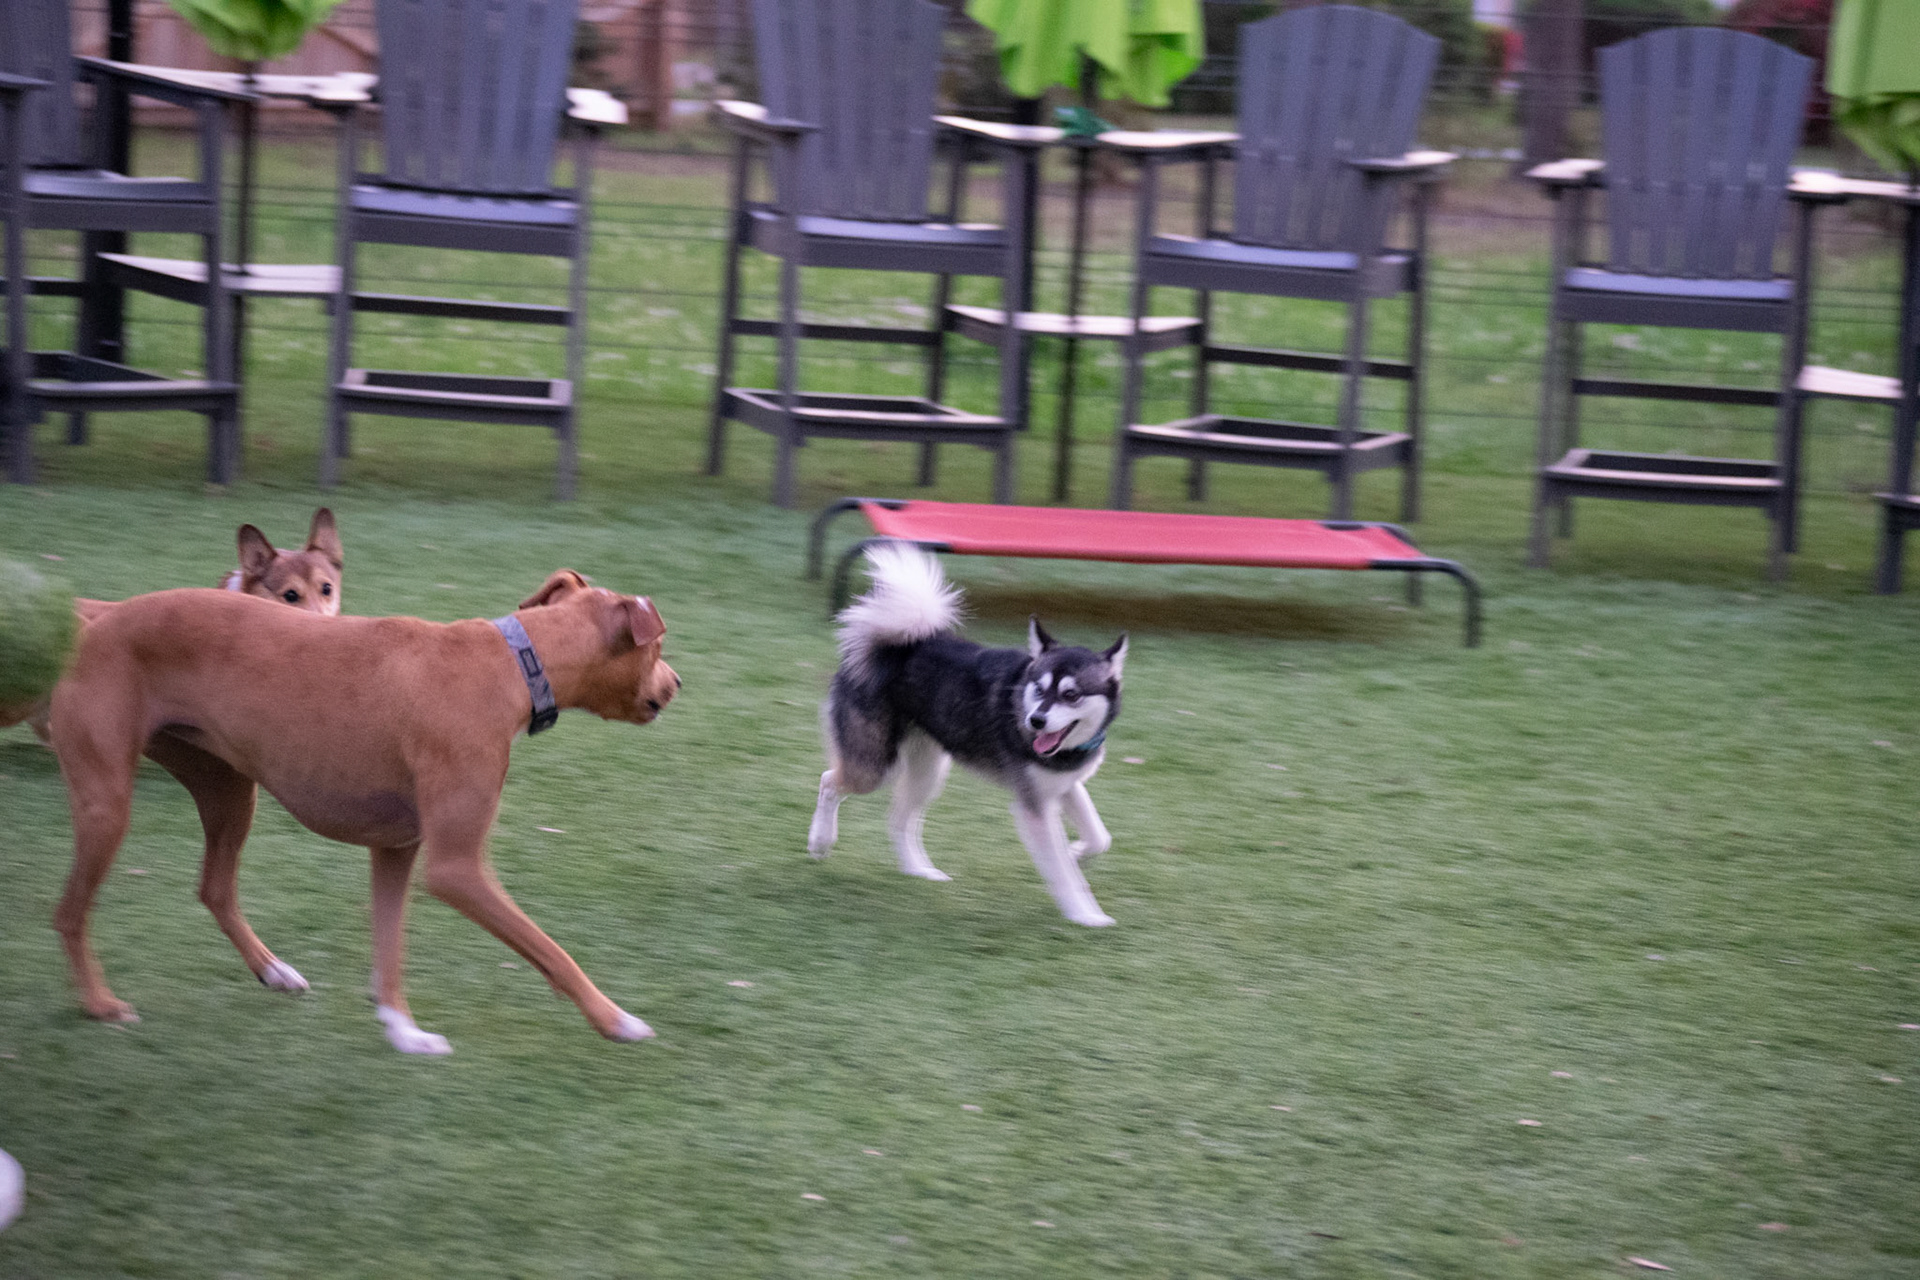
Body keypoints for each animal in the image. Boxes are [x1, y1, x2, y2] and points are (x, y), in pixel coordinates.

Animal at [44, 569, 679, 1054]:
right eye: (658, 647)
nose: (677, 682)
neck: (513, 664)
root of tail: (102, 619)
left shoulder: (395, 851)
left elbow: (389, 953)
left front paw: (405, 1034)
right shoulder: (456, 869)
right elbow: (553, 952)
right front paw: (617, 1020)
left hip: (229, 793)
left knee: (215, 888)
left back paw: (273, 971)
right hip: (108, 804)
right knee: (70, 912)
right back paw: (101, 1005)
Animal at [807, 543, 1127, 927]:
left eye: (1071, 694)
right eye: (1039, 688)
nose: (1035, 721)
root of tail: (891, 647)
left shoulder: (1064, 785)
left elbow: (1100, 836)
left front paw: (1078, 851)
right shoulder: (1034, 806)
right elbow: (1063, 872)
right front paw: (1085, 915)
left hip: (928, 772)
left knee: (898, 818)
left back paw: (919, 871)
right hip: (874, 766)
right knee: (829, 781)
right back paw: (820, 842)